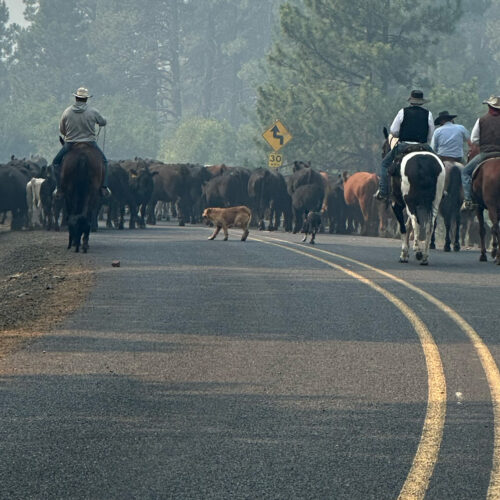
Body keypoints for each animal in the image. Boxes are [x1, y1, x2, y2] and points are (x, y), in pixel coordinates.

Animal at [382, 128, 446, 266]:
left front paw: (404, 254)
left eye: (383, 149)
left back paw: (418, 251)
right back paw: (425, 257)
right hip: (434, 203)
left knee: (416, 222)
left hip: (410, 202)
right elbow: (408, 225)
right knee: (430, 225)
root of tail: (424, 162)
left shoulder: (397, 204)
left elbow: (403, 227)